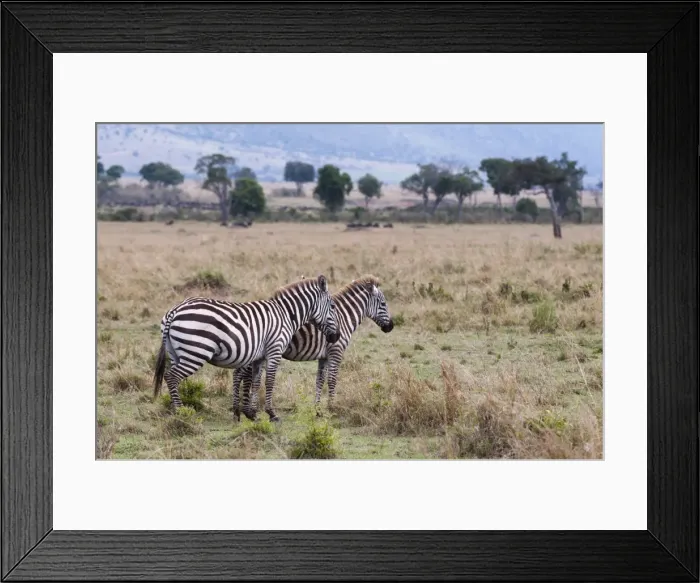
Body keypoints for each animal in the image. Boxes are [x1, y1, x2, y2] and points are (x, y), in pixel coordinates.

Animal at [153, 274, 340, 423]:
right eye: (332, 306)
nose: (336, 337)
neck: (286, 314)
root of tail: (175, 310)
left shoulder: (259, 357)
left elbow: (256, 382)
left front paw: (252, 413)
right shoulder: (275, 350)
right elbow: (270, 381)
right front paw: (271, 414)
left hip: (176, 353)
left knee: (172, 377)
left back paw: (173, 409)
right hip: (196, 352)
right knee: (172, 377)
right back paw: (181, 412)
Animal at [232, 275, 394, 412]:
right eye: (383, 303)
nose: (391, 327)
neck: (343, 317)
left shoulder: (324, 356)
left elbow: (320, 380)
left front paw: (317, 409)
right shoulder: (336, 351)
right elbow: (332, 380)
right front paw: (332, 407)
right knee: (241, 374)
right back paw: (241, 409)